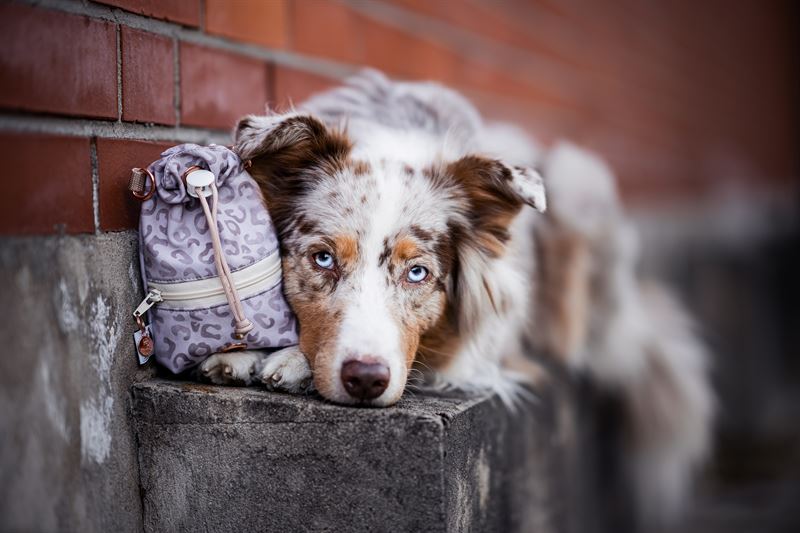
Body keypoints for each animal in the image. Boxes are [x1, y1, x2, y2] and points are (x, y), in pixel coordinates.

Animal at [198, 68, 712, 520]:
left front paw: (290, 362)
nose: (366, 380)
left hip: (578, 179)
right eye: (323, 259)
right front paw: (244, 352)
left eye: (418, 273)